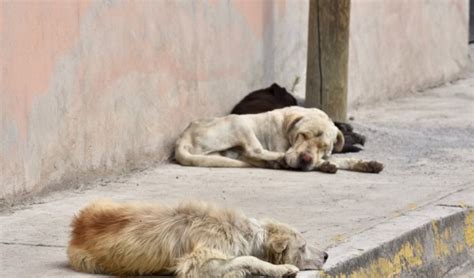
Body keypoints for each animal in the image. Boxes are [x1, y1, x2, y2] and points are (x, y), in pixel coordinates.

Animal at [66, 200, 328, 276]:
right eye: (303, 247)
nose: (326, 255)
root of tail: (77, 228)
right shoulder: (198, 261)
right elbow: (248, 259)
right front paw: (282, 269)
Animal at [176, 106, 384, 173]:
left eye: (323, 146)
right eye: (303, 135)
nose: (306, 159)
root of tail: (183, 137)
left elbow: (342, 160)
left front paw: (366, 163)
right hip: (239, 122)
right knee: (255, 151)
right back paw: (280, 160)